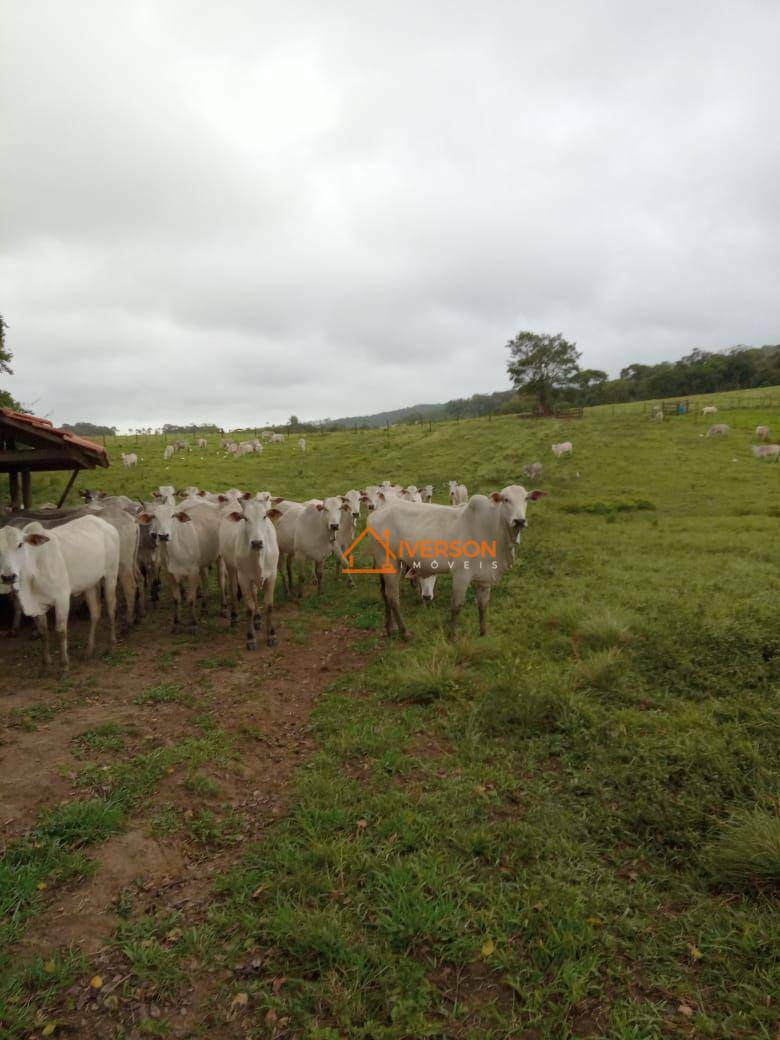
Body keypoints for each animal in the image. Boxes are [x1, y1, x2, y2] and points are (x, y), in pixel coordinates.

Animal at [0, 513, 119, 673]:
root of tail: (103, 523)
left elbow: (61, 632)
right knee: (95, 613)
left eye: (20, 544)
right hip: (90, 584)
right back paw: (89, 650)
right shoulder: (38, 604)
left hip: (111, 575)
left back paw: (111, 645)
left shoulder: (62, 599)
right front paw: (45, 666)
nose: (8, 577)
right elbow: (43, 632)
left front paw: (64, 667)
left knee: (111, 609)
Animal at [218, 497, 282, 648]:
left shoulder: (272, 575)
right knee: (233, 589)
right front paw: (251, 638)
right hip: (230, 567)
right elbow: (249, 608)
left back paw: (257, 618)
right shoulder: (244, 578)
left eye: (265, 516)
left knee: (254, 593)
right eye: (245, 518)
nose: (257, 542)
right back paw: (234, 617)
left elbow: (269, 605)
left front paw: (271, 635)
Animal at [368, 488, 544, 640]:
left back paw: (389, 628)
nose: (519, 520)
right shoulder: (461, 574)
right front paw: (453, 636)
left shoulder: (485, 578)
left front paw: (483, 633)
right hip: (388, 560)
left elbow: (483, 605)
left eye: (526, 499)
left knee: (385, 593)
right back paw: (404, 632)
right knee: (393, 596)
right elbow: (457, 606)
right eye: (506, 499)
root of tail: (376, 513)